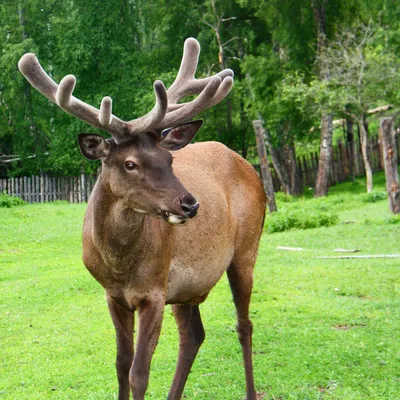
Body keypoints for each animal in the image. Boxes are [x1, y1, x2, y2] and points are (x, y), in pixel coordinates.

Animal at [19, 38, 268, 400]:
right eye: (130, 163)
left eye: (169, 159)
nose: (191, 204)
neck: (121, 265)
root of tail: (251, 169)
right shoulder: (113, 296)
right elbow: (122, 365)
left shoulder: (154, 291)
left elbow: (140, 372)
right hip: (188, 286)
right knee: (193, 335)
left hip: (246, 250)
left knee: (244, 325)